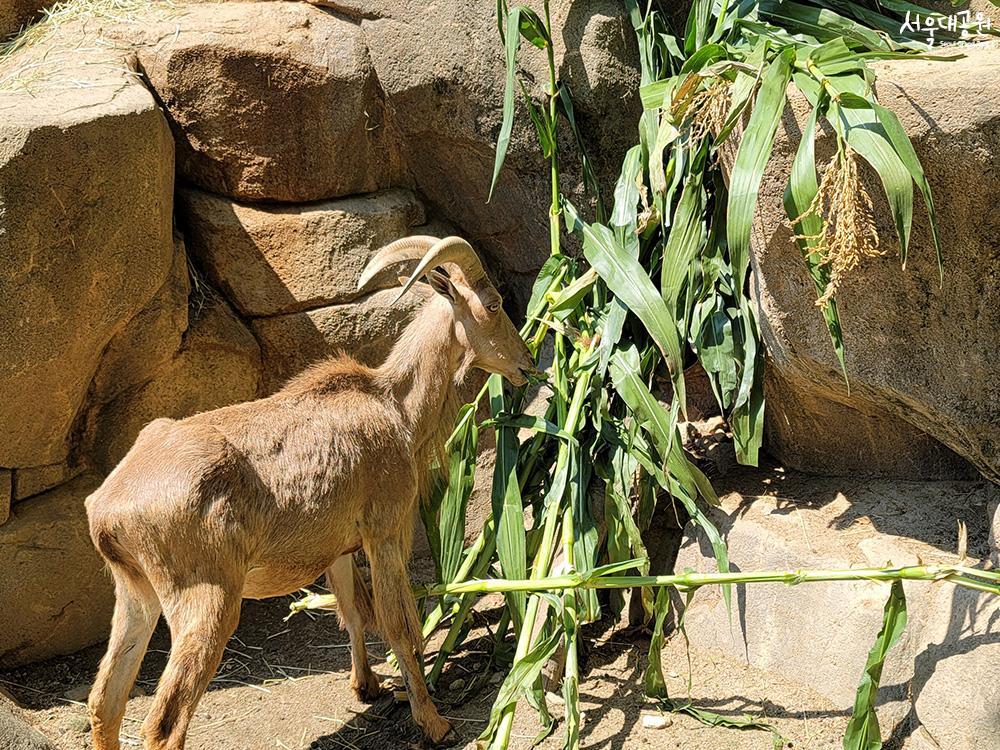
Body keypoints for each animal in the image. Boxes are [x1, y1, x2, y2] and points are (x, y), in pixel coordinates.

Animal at [85, 236, 536, 750]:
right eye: (494, 303)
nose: (527, 362)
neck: (396, 406)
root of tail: (107, 513)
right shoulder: (385, 532)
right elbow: (399, 625)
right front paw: (434, 722)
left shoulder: (337, 548)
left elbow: (353, 610)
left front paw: (366, 686)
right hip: (206, 600)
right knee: (163, 724)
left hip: (135, 594)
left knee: (106, 701)